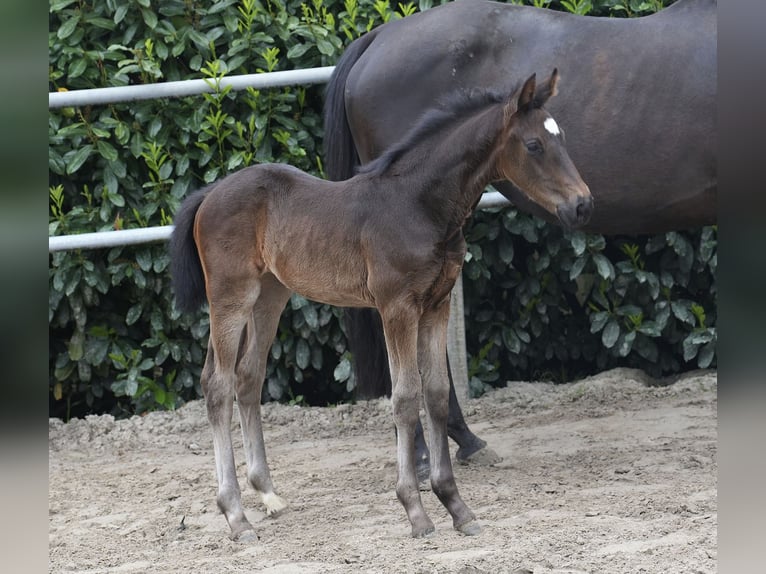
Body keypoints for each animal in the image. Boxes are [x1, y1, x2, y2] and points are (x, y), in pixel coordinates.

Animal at [171, 70, 592, 544]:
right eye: (534, 145)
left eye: (562, 137)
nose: (583, 205)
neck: (418, 204)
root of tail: (208, 193)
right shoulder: (397, 308)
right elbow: (405, 397)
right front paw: (415, 511)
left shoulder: (437, 305)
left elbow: (437, 394)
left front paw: (457, 507)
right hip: (230, 297)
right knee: (217, 385)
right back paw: (236, 515)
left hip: (269, 297)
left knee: (248, 377)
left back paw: (268, 494)